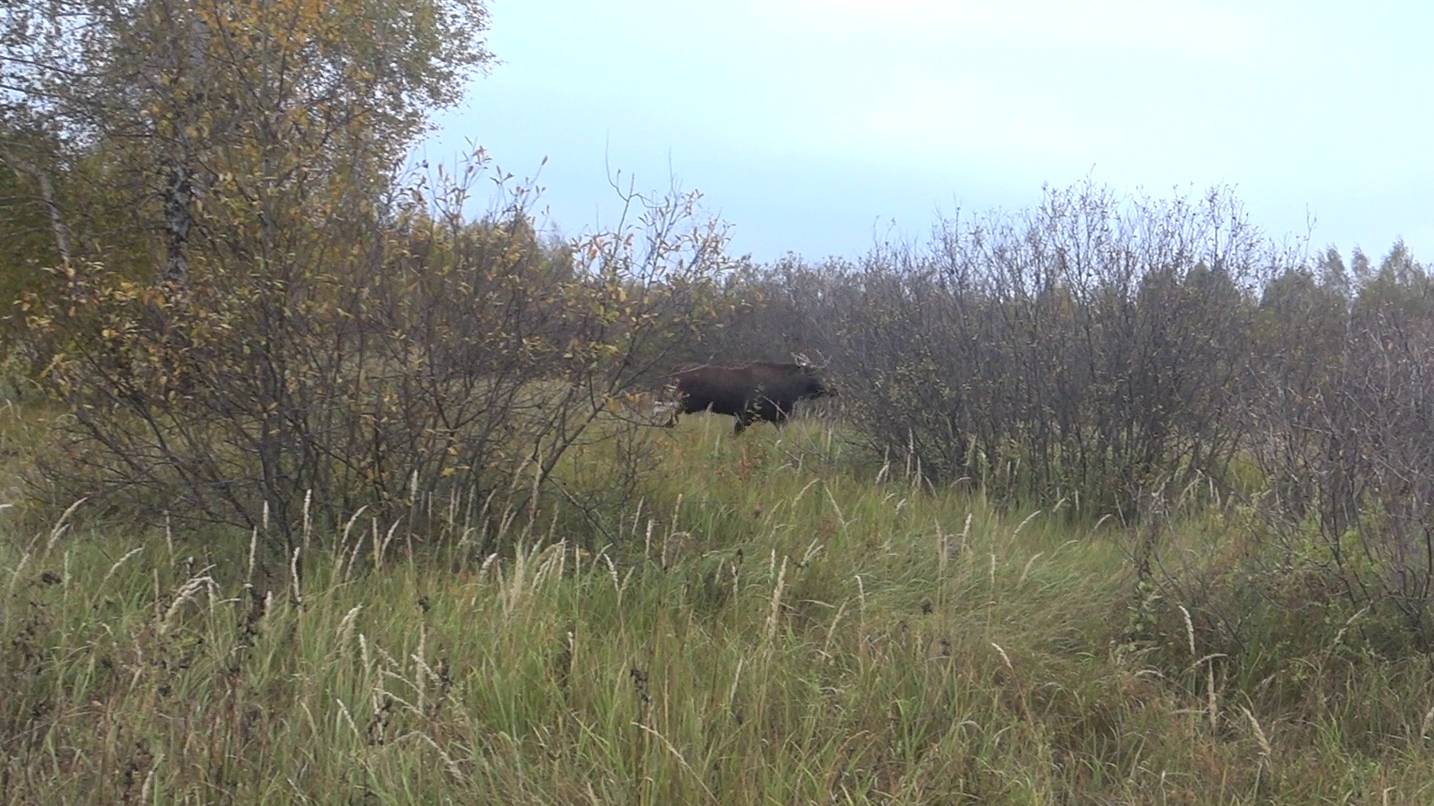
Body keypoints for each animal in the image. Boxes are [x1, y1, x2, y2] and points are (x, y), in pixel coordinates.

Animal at [656, 354, 831, 433]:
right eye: (813, 373)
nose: (832, 389)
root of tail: (674, 373)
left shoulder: (778, 419)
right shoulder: (746, 415)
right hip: (679, 403)